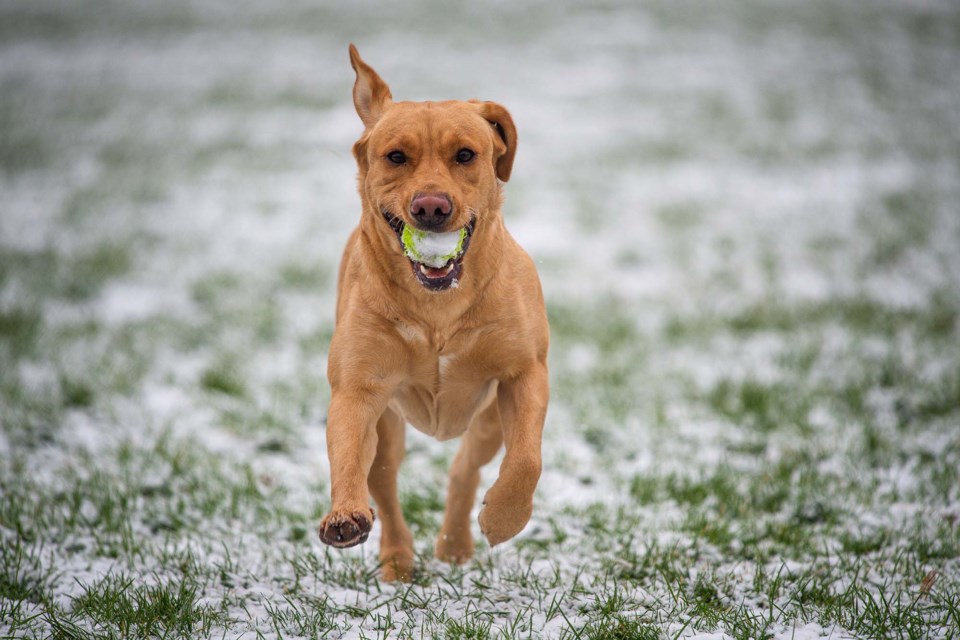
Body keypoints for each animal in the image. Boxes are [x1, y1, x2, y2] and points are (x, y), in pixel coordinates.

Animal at [316, 45, 548, 584]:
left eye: (465, 154)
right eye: (395, 156)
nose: (430, 207)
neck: (438, 306)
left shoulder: (525, 371)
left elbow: (526, 459)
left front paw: (505, 518)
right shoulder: (359, 386)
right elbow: (346, 448)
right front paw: (344, 515)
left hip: (487, 419)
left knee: (466, 468)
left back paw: (457, 542)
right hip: (389, 428)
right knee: (383, 481)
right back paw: (397, 557)